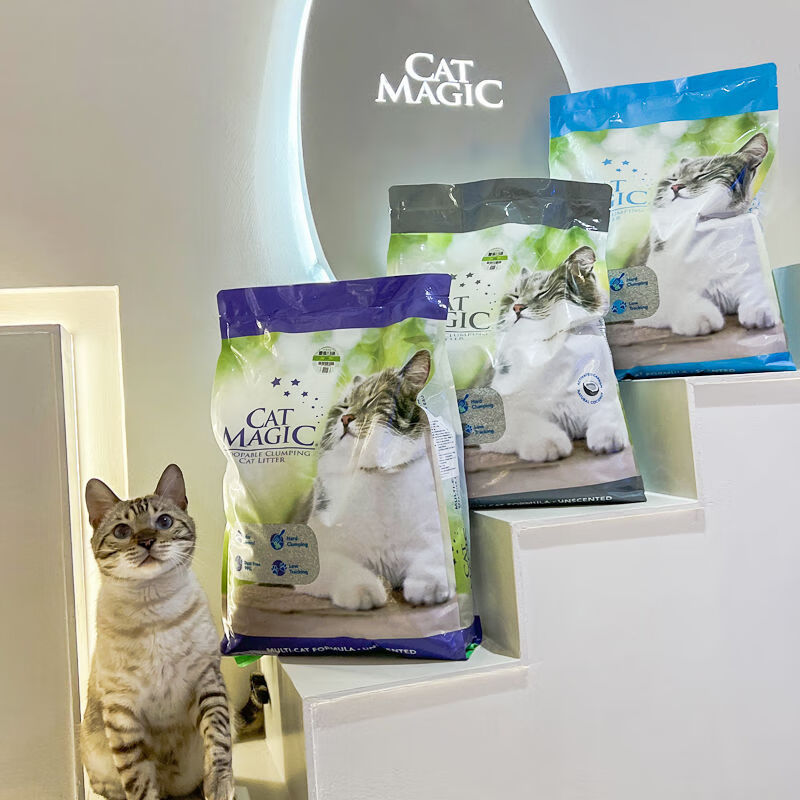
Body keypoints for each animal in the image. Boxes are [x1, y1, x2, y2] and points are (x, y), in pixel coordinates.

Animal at [81, 465, 234, 800]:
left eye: (163, 521)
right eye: (122, 531)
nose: (147, 540)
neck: (153, 611)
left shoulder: (206, 680)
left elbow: (218, 741)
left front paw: (220, 787)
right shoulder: (122, 710)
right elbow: (138, 779)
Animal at [296, 349, 453, 612]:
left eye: (372, 400)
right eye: (344, 405)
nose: (346, 418)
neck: (377, 474)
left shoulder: (433, 539)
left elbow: (432, 563)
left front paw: (428, 588)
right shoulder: (320, 557)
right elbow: (348, 570)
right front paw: (365, 592)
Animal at [482, 246, 629, 462]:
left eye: (543, 292)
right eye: (515, 296)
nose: (517, 307)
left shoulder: (604, 396)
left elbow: (608, 415)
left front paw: (608, 438)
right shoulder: (501, 414)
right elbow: (528, 422)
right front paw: (549, 443)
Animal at [629, 132, 777, 336]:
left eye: (703, 174)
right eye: (673, 179)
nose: (676, 187)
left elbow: (757, 288)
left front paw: (761, 308)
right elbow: (677, 297)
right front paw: (699, 316)